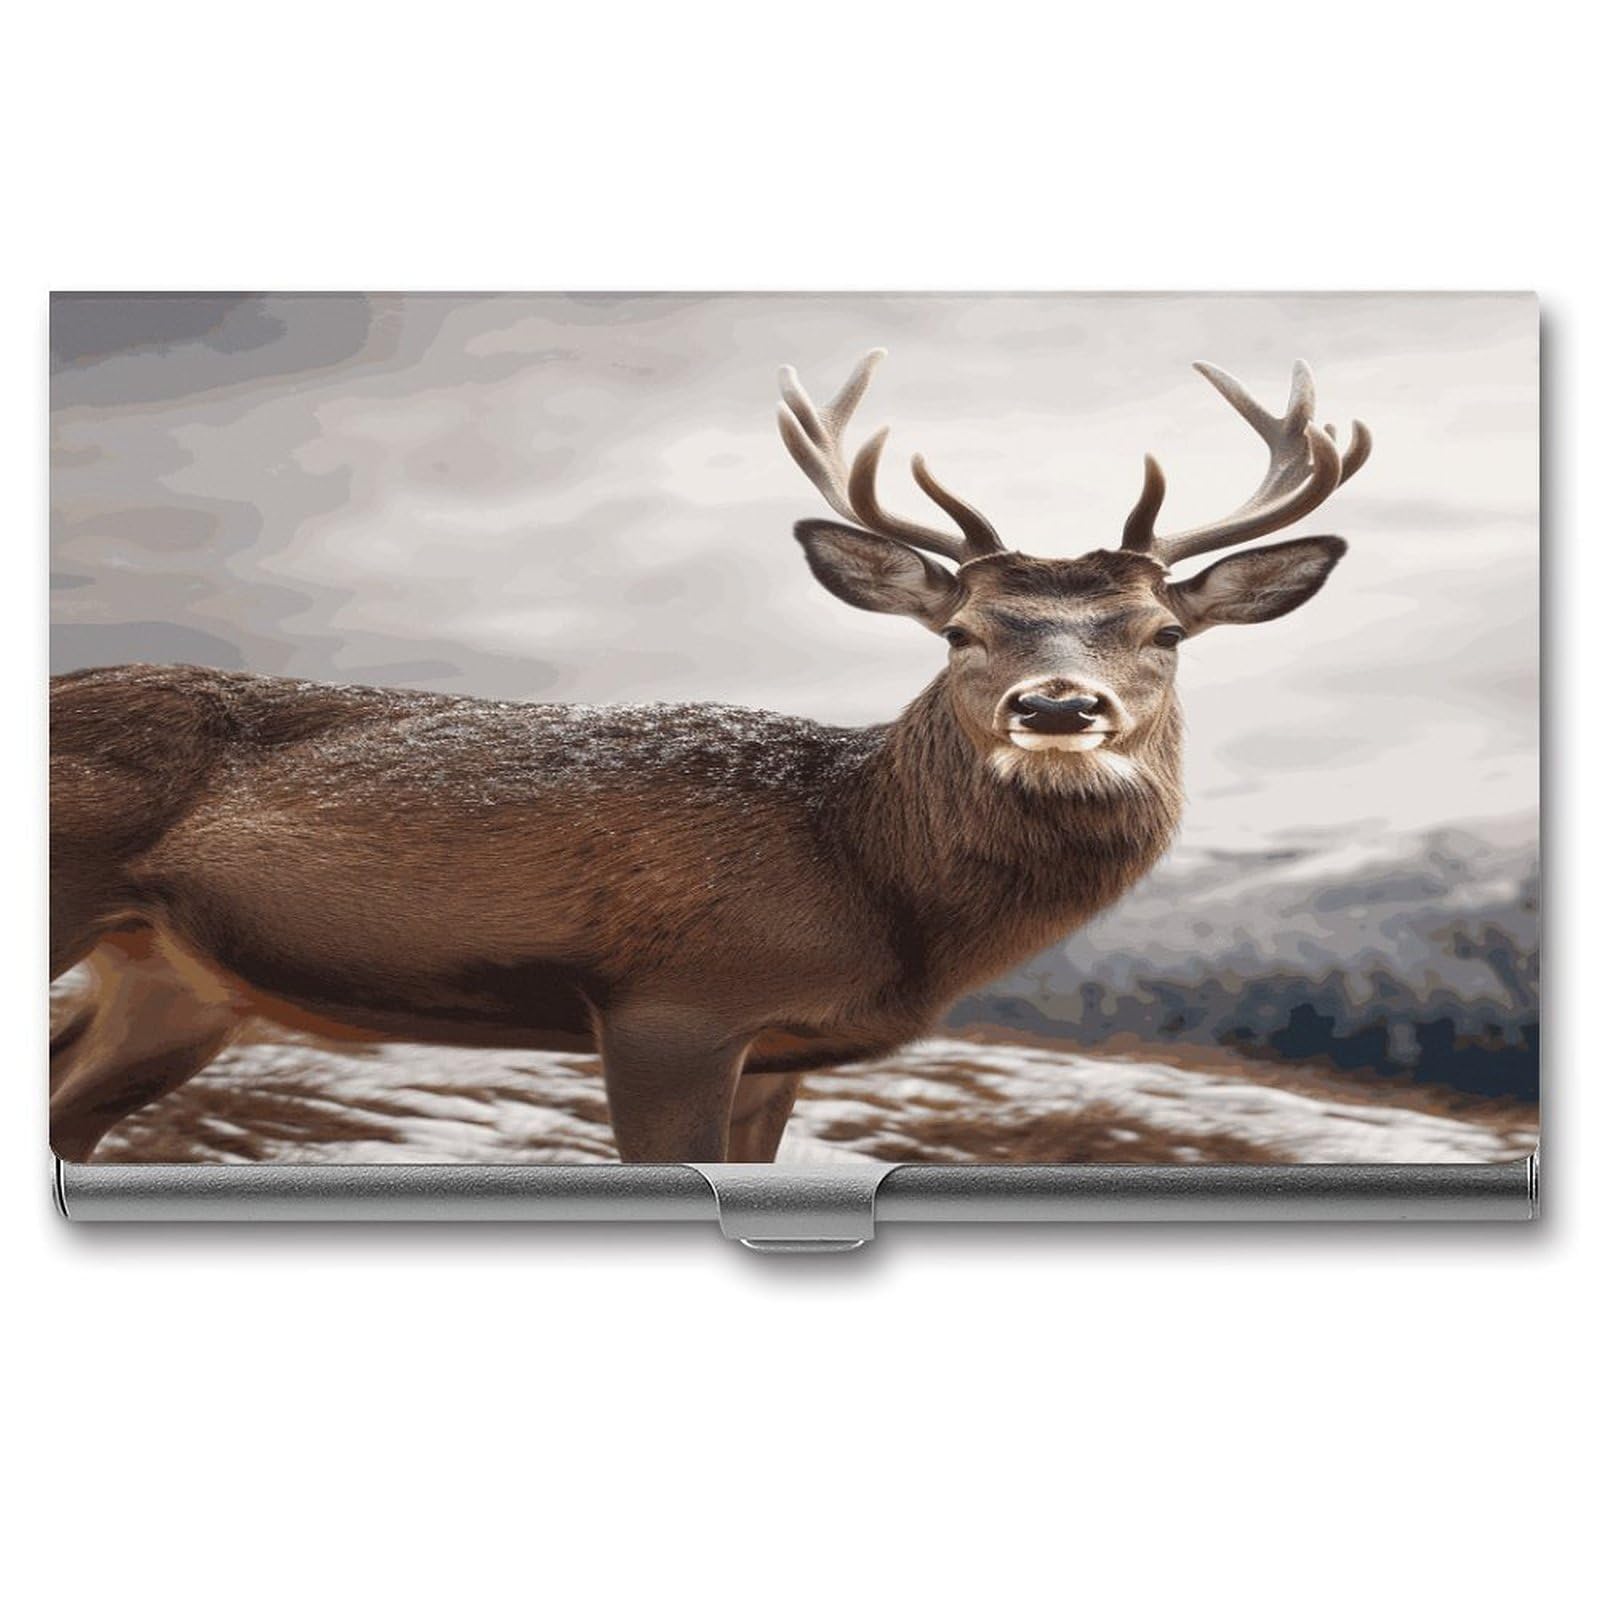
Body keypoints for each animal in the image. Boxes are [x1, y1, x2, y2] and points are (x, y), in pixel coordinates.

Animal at [49, 350, 1371, 1165]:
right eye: (958, 629)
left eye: (1164, 632)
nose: (1055, 706)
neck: (864, 880)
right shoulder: (671, 999)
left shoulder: (779, 1046)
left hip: (175, 980)